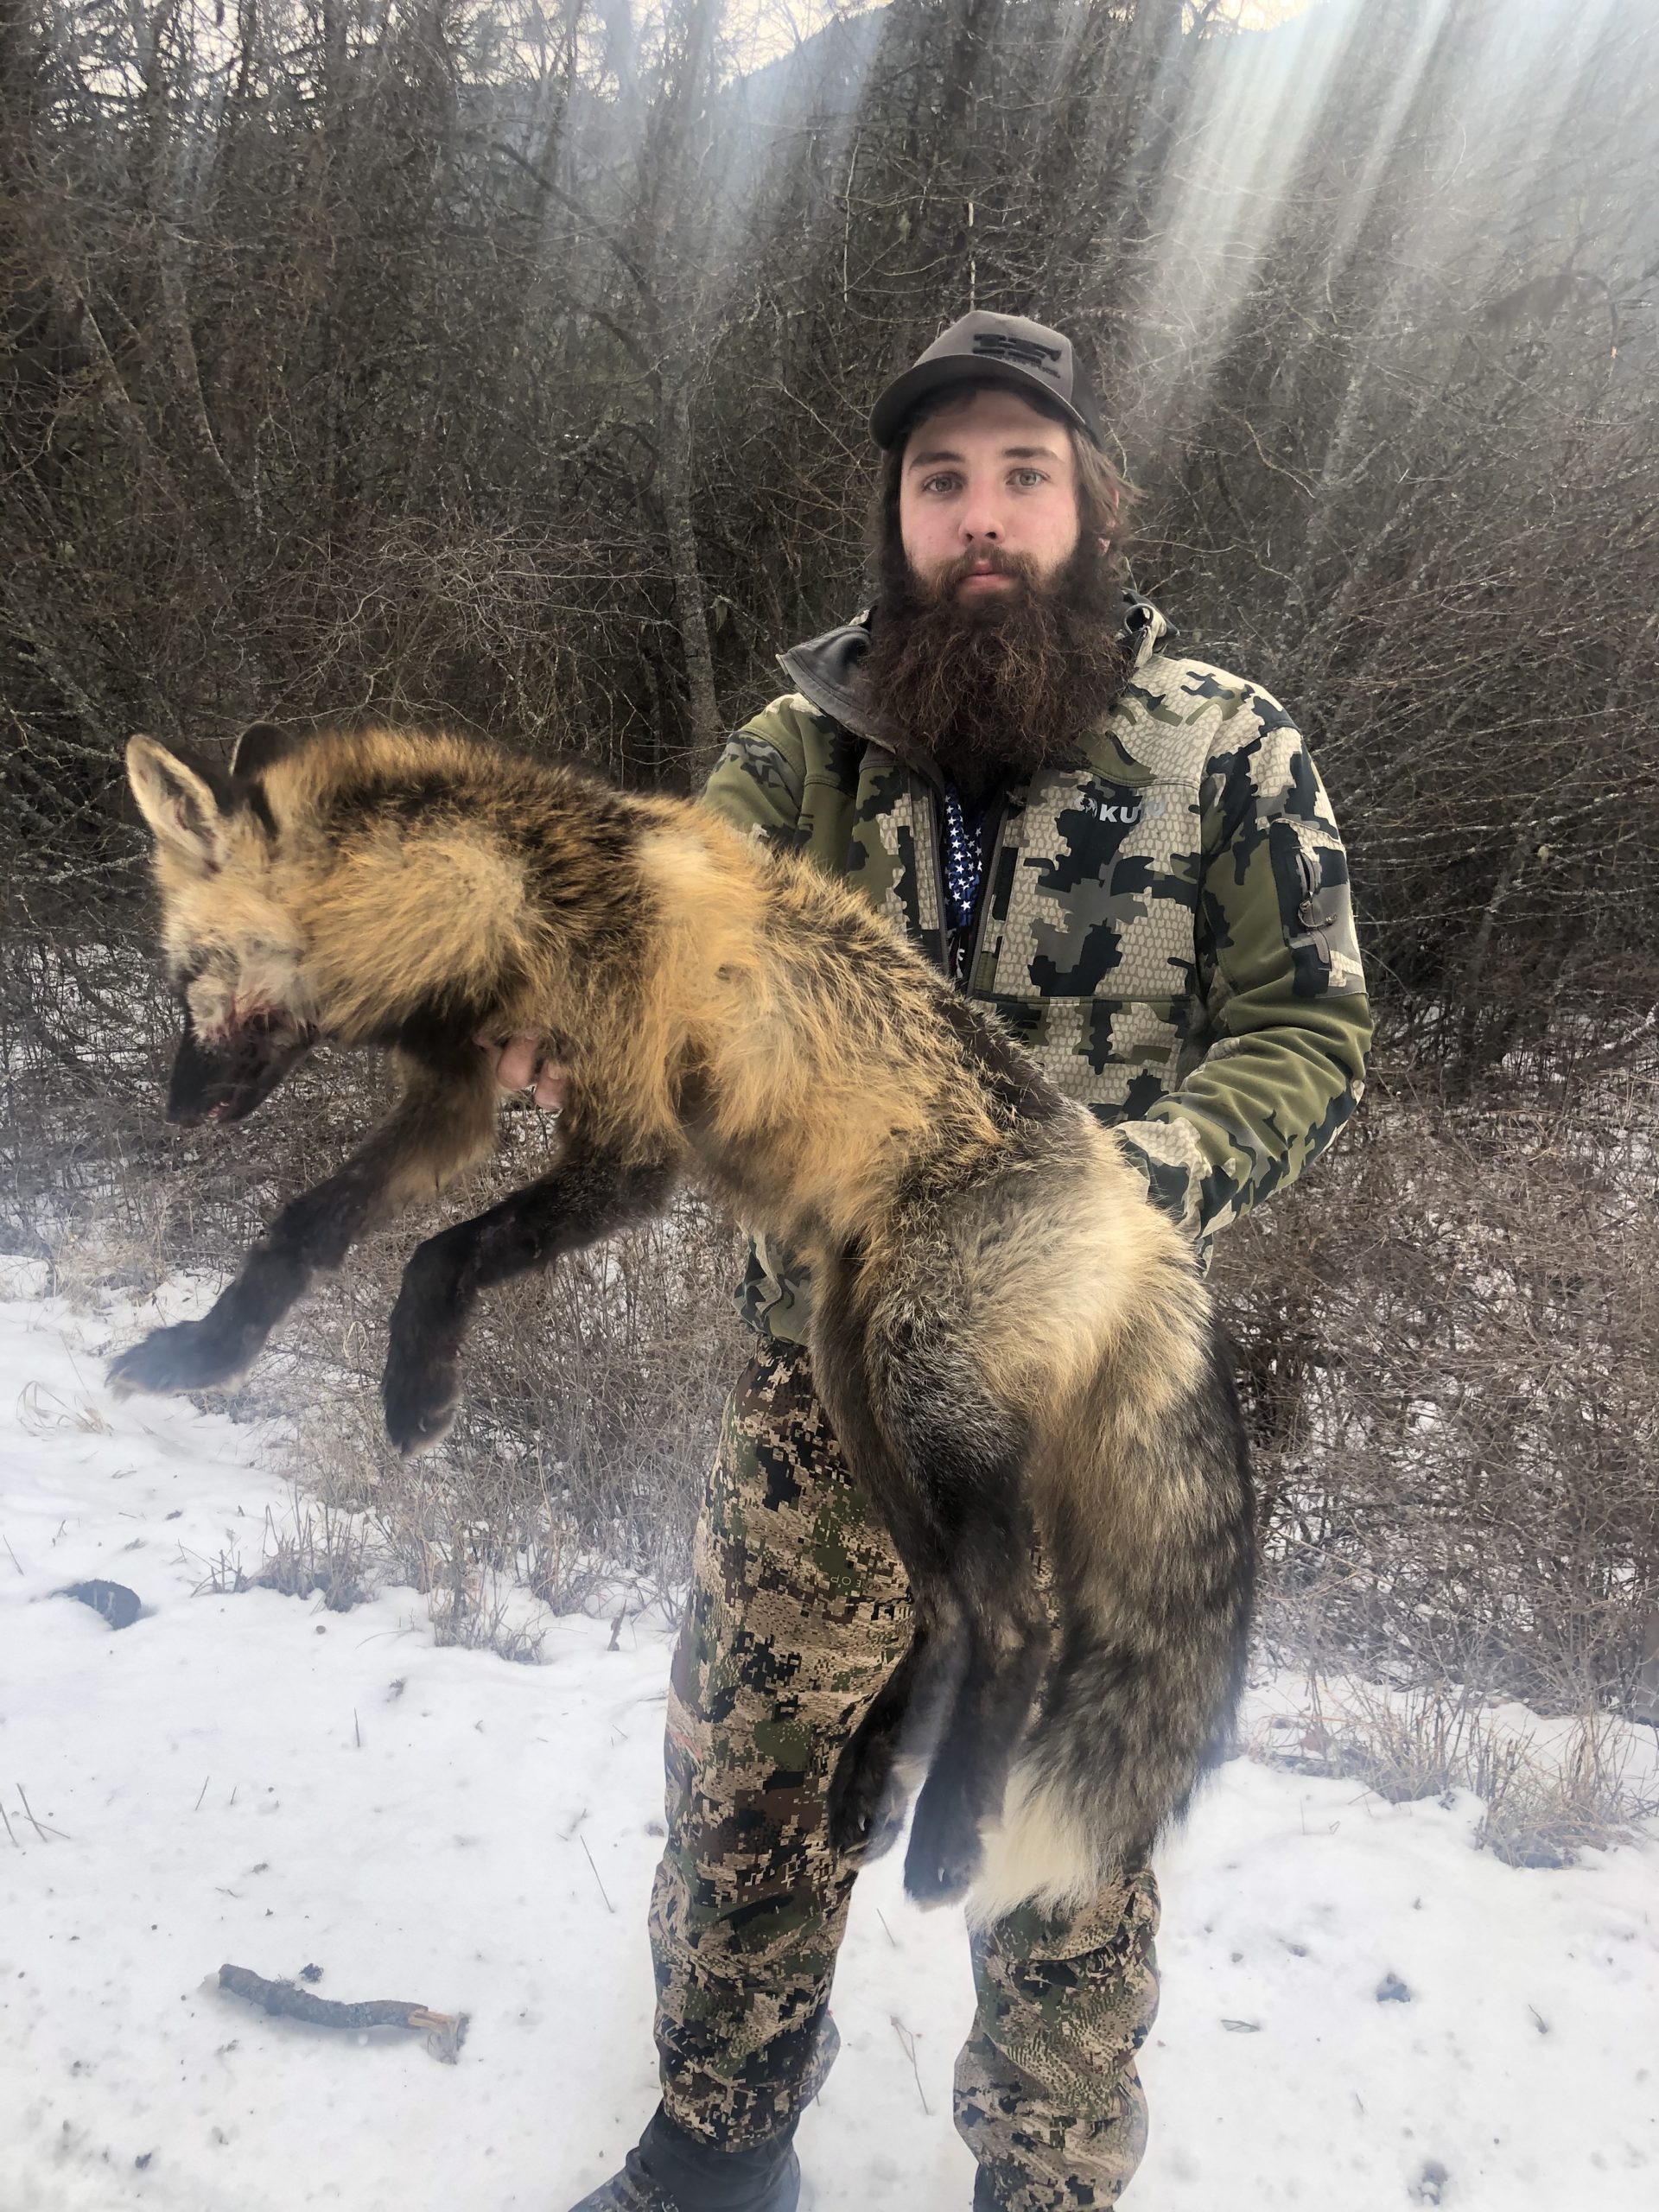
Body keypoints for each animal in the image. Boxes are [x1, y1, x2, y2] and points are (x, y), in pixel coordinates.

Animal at [111, 720, 1254, 1921]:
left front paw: (416, 1392)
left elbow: (437, 1258)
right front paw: (200, 1352)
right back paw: (871, 1779)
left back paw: (947, 1837)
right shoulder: (455, 1104)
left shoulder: (631, 1145)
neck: (514, 899)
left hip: (924, 1389)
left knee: (1020, 1620)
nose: (176, 1110)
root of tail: (1140, 1214)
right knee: (948, 1613)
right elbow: (297, 1233)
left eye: (188, 976)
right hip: (859, 1385)